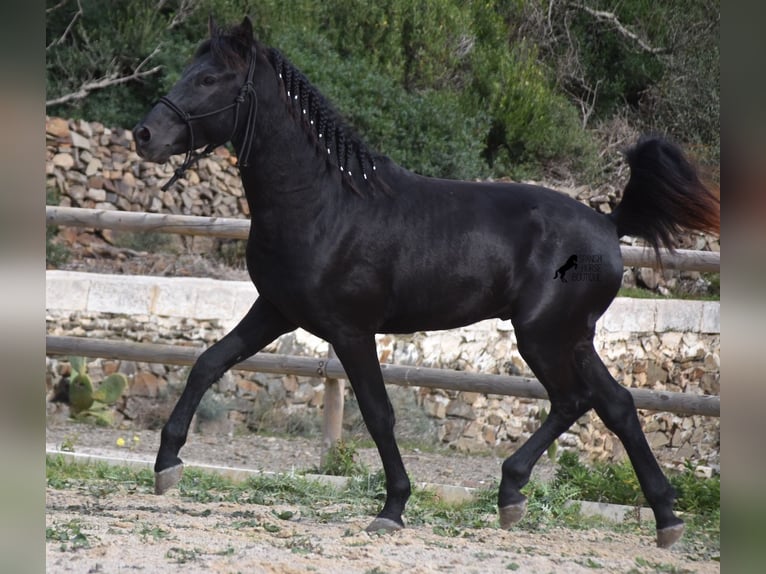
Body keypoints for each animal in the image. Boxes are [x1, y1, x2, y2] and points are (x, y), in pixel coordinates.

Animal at [136, 16, 720, 548]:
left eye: (210, 78)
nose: (145, 135)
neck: (323, 203)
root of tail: (609, 224)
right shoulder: (274, 311)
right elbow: (208, 362)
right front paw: (166, 465)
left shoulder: (350, 331)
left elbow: (378, 414)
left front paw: (393, 507)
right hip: (571, 337)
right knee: (615, 404)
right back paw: (661, 519)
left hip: (543, 335)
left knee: (574, 400)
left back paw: (514, 493)